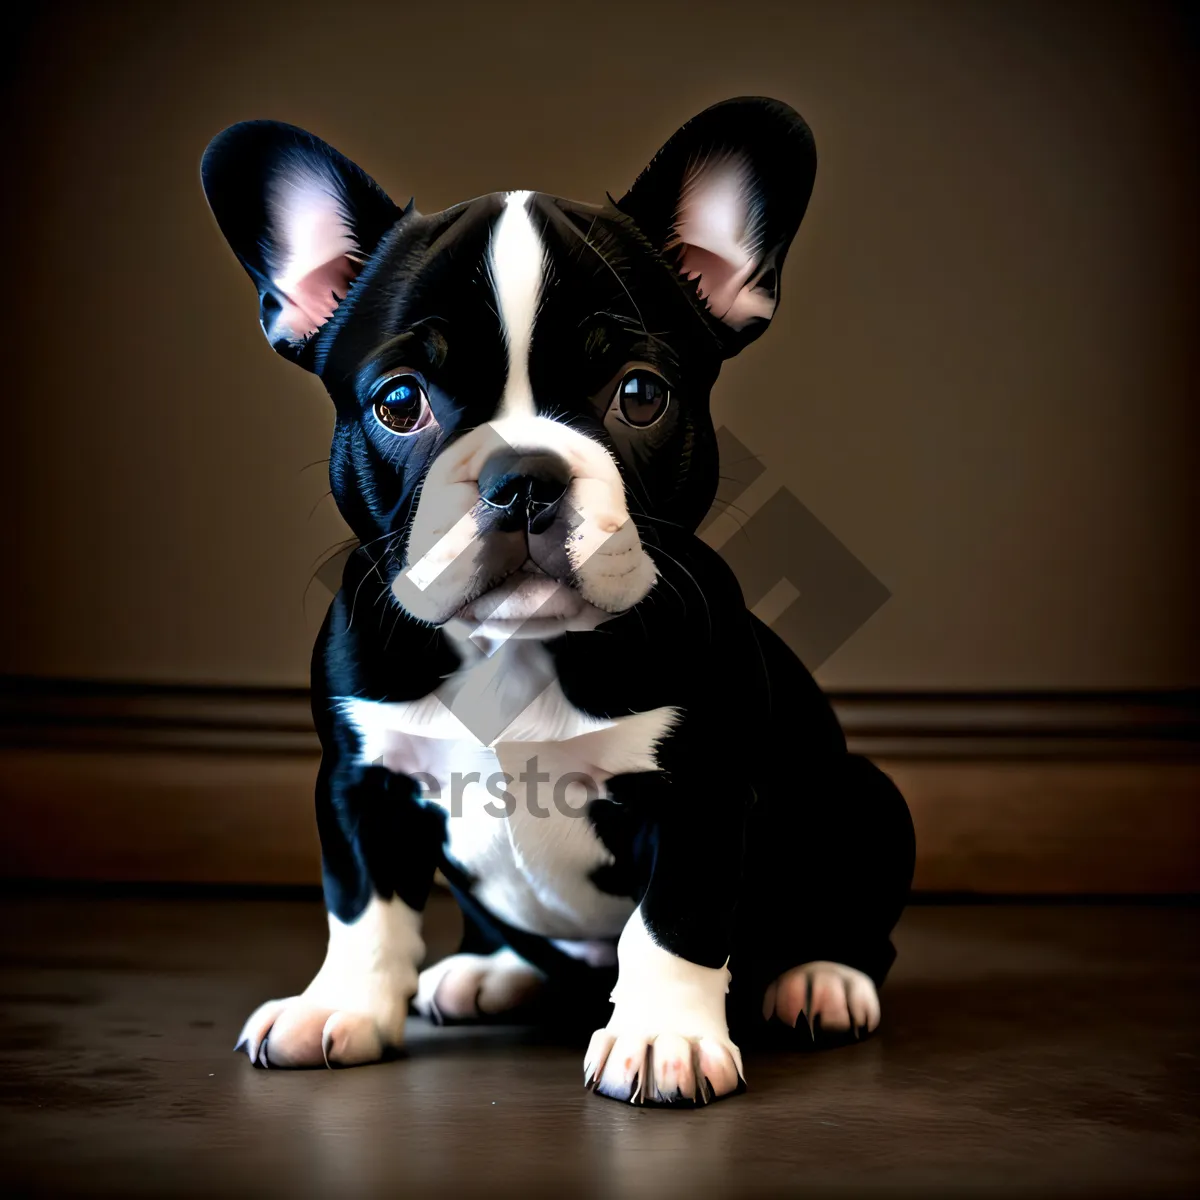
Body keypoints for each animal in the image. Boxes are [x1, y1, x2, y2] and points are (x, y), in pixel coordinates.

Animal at [201, 98, 912, 1099]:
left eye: (641, 395)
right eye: (399, 403)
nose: (523, 478)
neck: (515, 647)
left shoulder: (698, 791)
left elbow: (673, 921)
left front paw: (660, 1037)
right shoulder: (359, 779)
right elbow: (363, 907)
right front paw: (337, 1007)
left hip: (869, 800)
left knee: (854, 929)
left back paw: (820, 979)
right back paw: (490, 973)